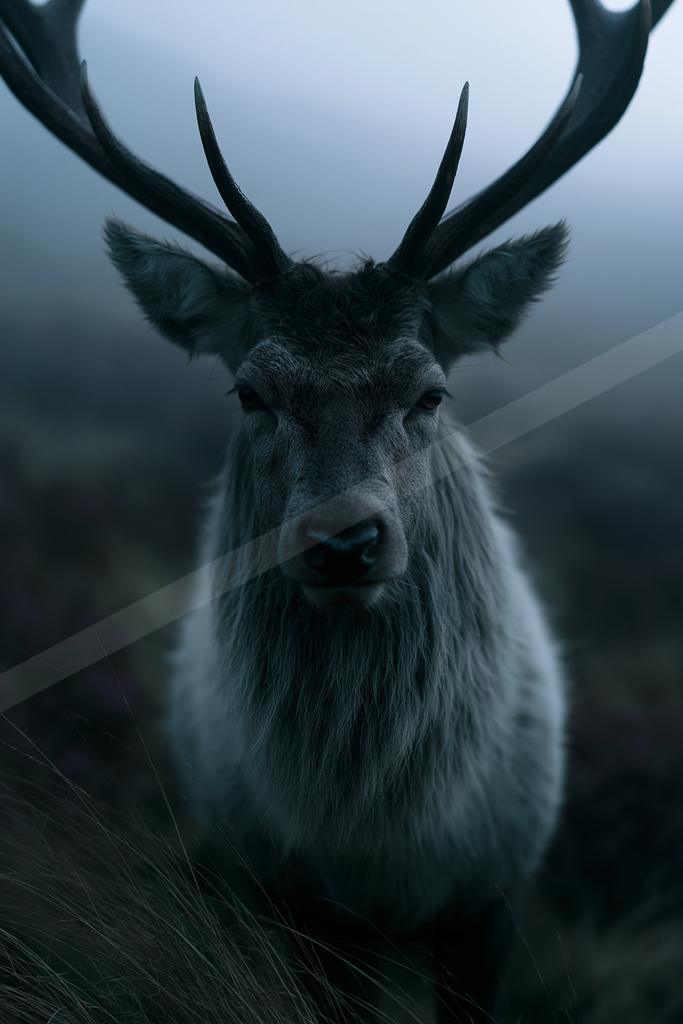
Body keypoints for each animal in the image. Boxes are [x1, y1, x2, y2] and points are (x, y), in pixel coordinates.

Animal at [1, 0, 674, 1020]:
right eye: (249, 391)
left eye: (430, 391)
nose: (346, 541)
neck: (376, 843)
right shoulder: (294, 896)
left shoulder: (496, 884)